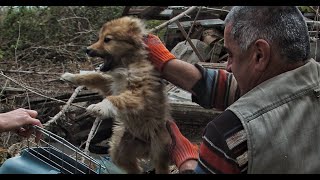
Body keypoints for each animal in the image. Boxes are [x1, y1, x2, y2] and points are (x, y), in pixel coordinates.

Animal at [61, 16, 174, 174]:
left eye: (107, 39)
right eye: (100, 37)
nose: (87, 50)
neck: (125, 66)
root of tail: (146, 150)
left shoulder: (139, 94)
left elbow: (116, 98)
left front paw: (99, 107)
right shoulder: (110, 84)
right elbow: (95, 76)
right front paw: (72, 76)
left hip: (159, 151)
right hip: (119, 150)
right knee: (135, 169)